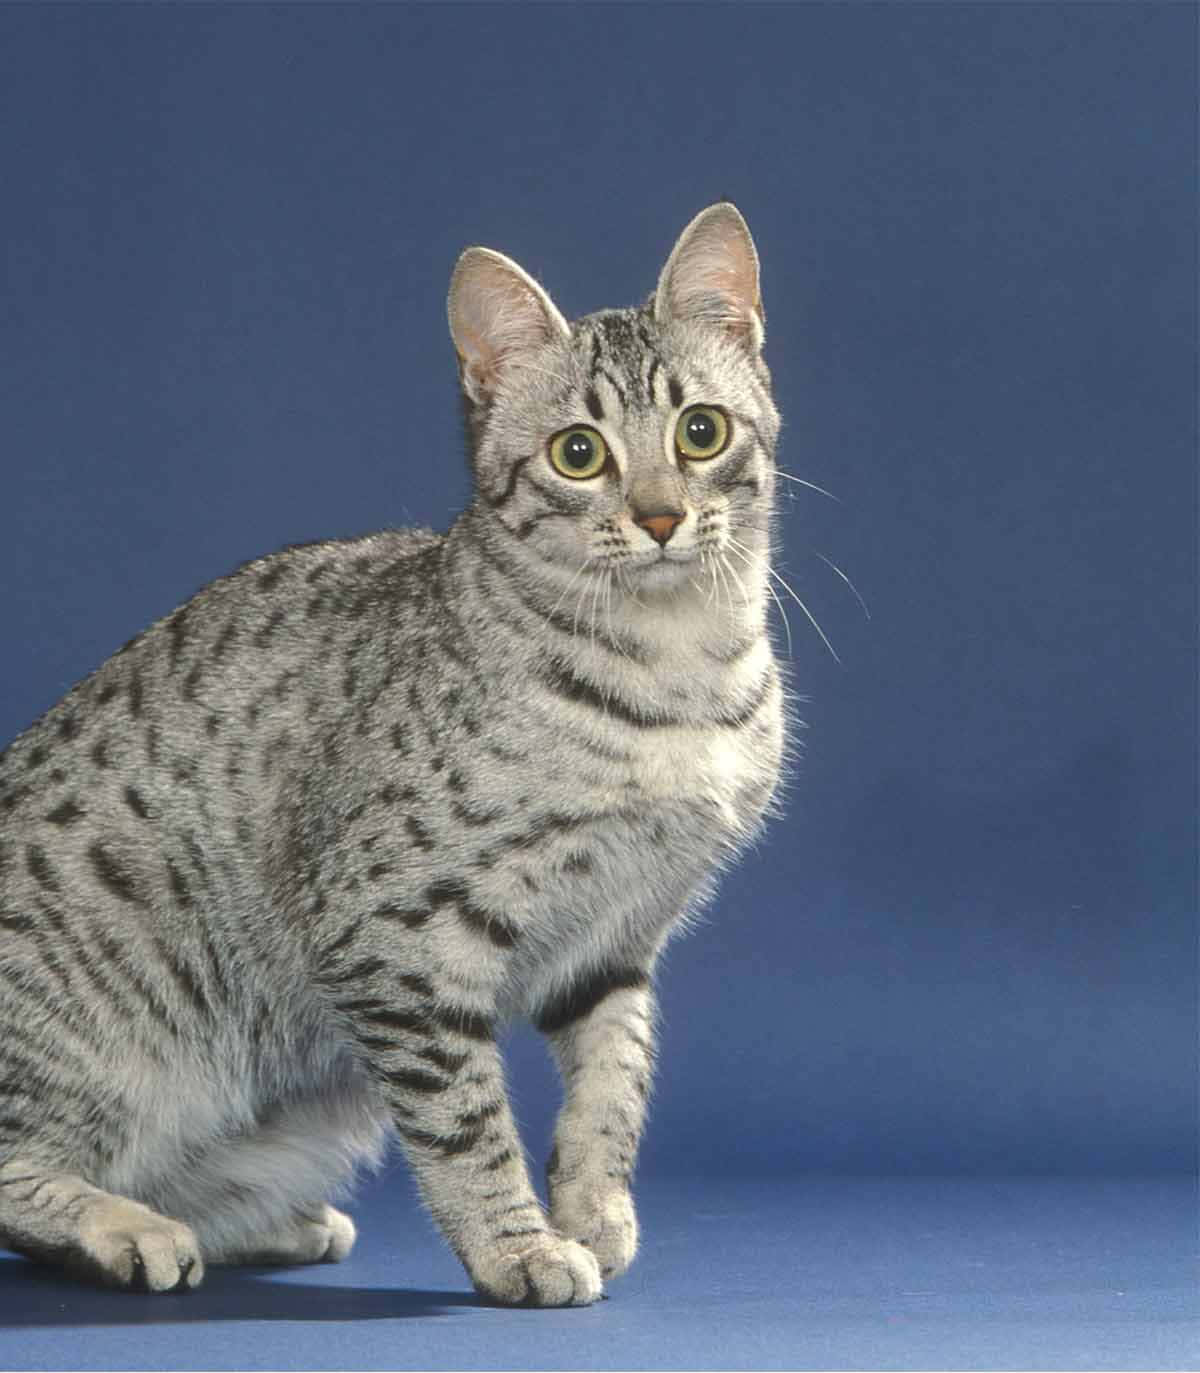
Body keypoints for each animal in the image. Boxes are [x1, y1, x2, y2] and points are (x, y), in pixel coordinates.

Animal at [0, 199, 785, 1301]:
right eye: (578, 453)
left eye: (700, 431)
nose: (662, 515)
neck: (678, 670)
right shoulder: (394, 934)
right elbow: (466, 1120)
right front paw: (519, 1245)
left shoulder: (616, 942)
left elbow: (615, 1083)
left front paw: (595, 1207)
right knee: (19, 1161)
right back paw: (129, 1229)